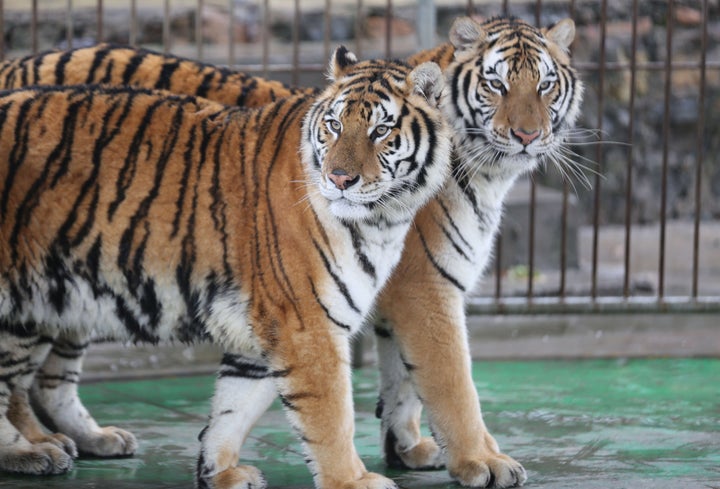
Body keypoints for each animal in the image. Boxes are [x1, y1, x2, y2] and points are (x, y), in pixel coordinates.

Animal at [0, 13, 584, 486]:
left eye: (545, 86)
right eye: (496, 83)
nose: (527, 135)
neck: (484, 174)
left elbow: (398, 379)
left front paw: (409, 448)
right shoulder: (419, 290)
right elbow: (446, 383)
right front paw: (480, 461)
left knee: (48, 380)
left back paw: (87, 438)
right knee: (17, 381)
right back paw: (36, 449)